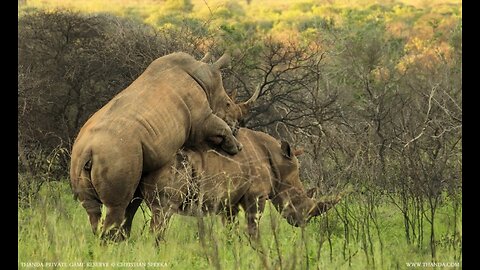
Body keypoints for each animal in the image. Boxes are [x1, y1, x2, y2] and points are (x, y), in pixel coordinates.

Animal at [69, 51, 258, 240]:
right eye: (227, 104)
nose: (237, 127)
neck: (204, 76)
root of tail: (88, 151)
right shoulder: (200, 119)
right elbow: (218, 125)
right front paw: (236, 147)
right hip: (117, 154)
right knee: (117, 206)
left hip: (81, 157)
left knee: (93, 208)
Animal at [139, 127, 342, 242]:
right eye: (296, 198)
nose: (302, 223)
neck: (279, 164)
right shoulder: (256, 195)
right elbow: (253, 226)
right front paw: (257, 249)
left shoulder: (230, 200)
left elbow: (231, 228)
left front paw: (233, 248)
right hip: (176, 166)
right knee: (163, 213)